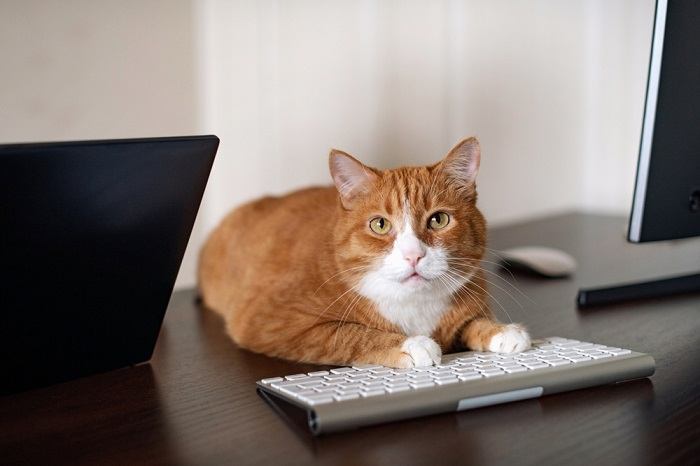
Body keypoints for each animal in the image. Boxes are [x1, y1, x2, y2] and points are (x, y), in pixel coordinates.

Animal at [198, 137, 532, 368]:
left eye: (438, 220)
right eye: (380, 225)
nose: (413, 255)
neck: (413, 304)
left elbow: (473, 321)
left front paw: (502, 331)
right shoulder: (272, 321)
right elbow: (349, 334)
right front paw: (412, 345)